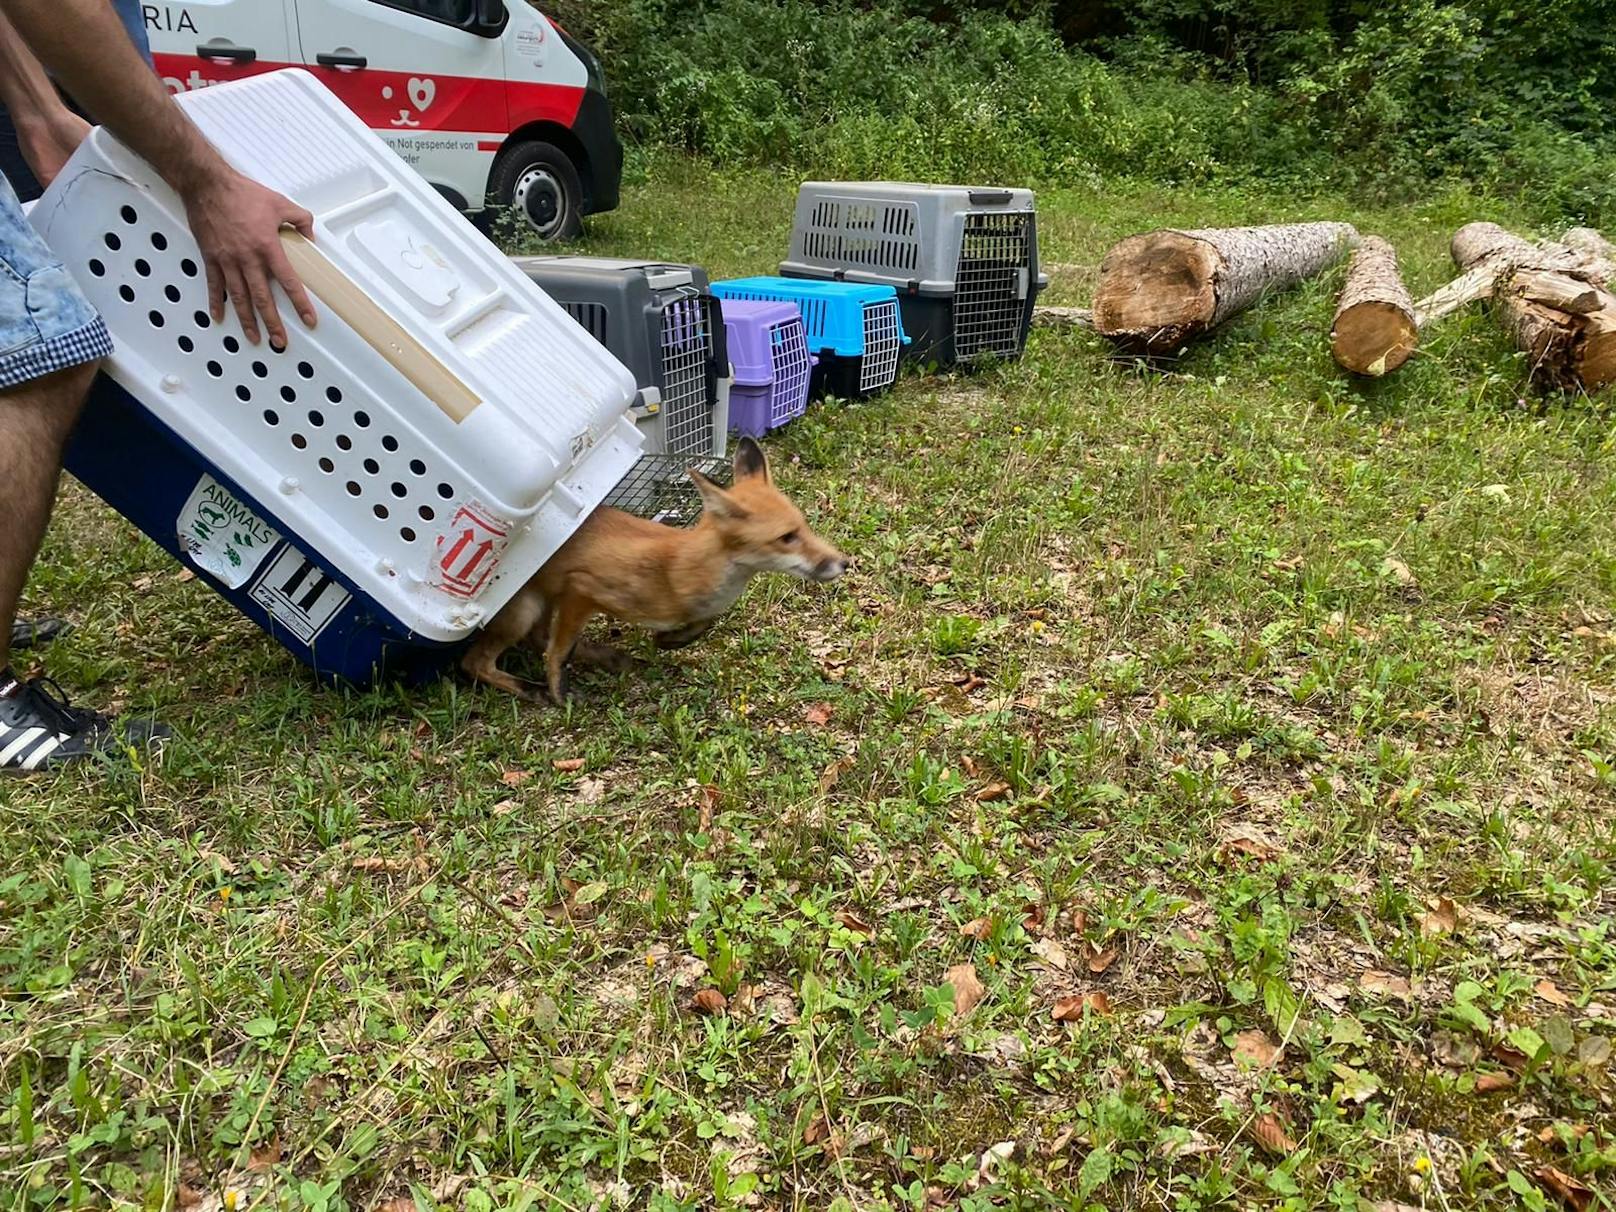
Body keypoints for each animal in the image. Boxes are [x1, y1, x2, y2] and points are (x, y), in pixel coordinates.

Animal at [465, 436, 853, 701]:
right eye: (787, 537)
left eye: (804, 527)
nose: (845, 562)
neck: (676, 569)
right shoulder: (582, 589)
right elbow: (558, 652)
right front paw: (558, 691)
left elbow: (705, 621)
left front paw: (670, 640)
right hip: (526, 610)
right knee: (476, 663)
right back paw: (532, 688)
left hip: (540, 604)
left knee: (537, 639)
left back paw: (611, 657)